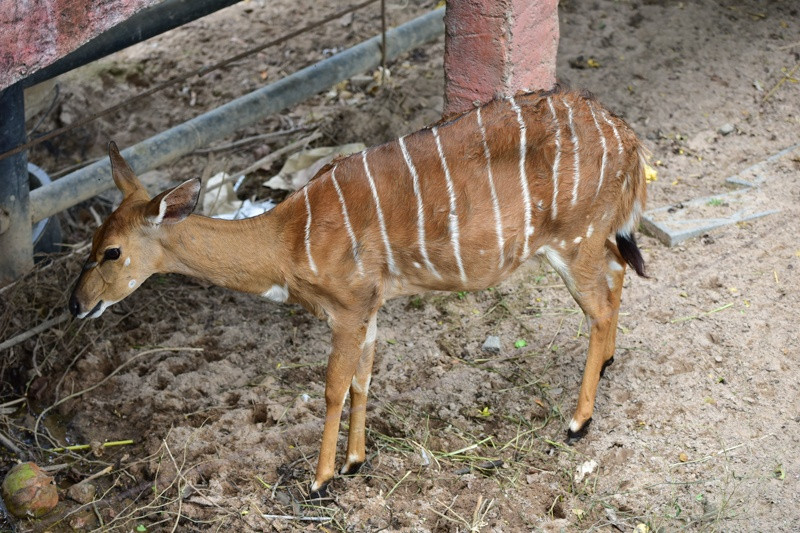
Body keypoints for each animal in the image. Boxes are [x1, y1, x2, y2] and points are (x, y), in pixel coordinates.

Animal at [69, 88, 647, 498]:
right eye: (91, 242)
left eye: (111, 252)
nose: (76, 303)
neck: (285, 239)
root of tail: (627, 137)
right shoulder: (370, 308)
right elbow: (363, 381)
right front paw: (354, 463)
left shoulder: (347, 309)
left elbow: (333, 387)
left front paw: (320, 480)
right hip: (595, 238)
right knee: (620, 273)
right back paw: (609, 363)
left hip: (572, 241)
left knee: (599, 307)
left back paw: (578, 423)